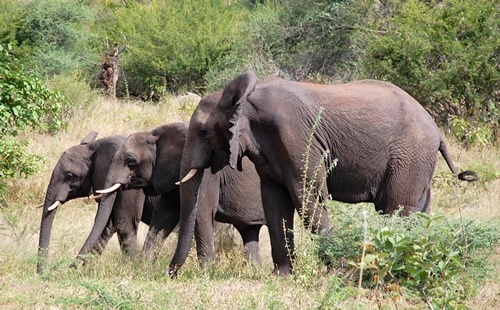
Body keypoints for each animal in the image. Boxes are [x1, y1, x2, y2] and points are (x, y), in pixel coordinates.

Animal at [36, 131, 157, 274]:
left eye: (70, 175)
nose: (42, 273)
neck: (96, 146)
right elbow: (106, 225)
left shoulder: (130, 183)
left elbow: (125, 224)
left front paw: (130, 268)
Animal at [94, 122, 266, 266]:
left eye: (130, 161)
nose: (170, 272)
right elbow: (165, 215)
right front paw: (144, 266)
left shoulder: (207, 174)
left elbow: (201, 213)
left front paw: (207, 271)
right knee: (250, 232)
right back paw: (256, 270)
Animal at [170, 71, 478, 276]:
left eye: (203, 132)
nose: (169, 274)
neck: (244, 96)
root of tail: (436, 129)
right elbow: (275, 204)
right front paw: (282, 277)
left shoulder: (294, 137)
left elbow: (308, 199)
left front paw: (336, 272)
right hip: (417, 162)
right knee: (417, 211)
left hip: (409, 156)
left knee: (396, 210)